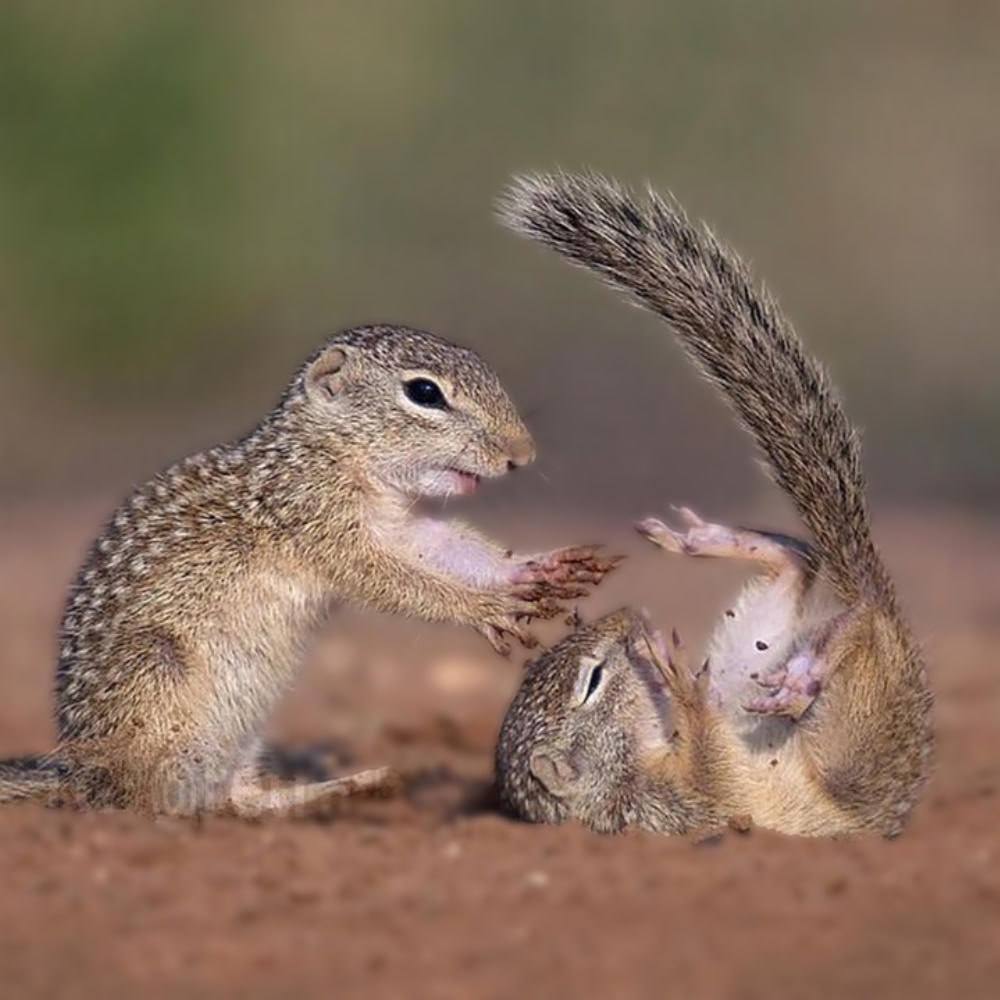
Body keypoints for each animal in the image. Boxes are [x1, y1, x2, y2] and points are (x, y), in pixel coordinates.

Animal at [1, 324, 616, 816]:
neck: (332, 453)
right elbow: (394, 581)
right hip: (159, 682)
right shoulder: (320, 520)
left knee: (240, 799)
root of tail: (84, 773)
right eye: (425, 392)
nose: (523, 455)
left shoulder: (405, 526)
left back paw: (353, 787)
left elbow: (452, 551)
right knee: (161, 803)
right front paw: (485, 606)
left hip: (240, 731)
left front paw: (540, 567)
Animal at [496, 172, 932, 836]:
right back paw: (808, 669)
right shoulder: (686, 808)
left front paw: (676, 680)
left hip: (753, 670)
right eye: (592, 681)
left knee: (801, 563)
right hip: (849, 720)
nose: (626, 619)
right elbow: (715, 769)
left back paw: (708, 543)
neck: (630, 774)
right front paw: (684, 692)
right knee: (847, 625)